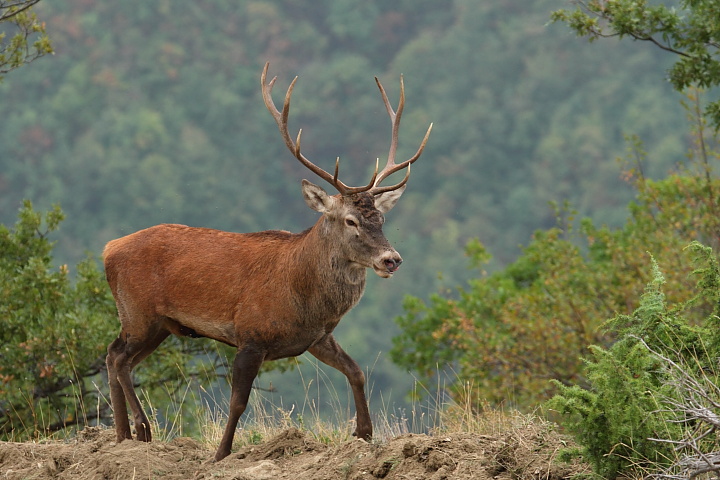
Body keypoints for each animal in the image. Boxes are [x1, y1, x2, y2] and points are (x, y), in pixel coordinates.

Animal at [102, 62, 434, 460]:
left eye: (381, 218)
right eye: (350, 221)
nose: (391, 259)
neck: (301, 295)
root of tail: (108, 249)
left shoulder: (316, 337)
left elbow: (357, 371)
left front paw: (365, 434)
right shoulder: (250, 334)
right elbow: (238, 402)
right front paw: (221, 454)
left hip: (159, 325)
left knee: (114, 356)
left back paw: (123, 436)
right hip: (139, 312)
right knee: (118, 357)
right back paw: (141, 429)